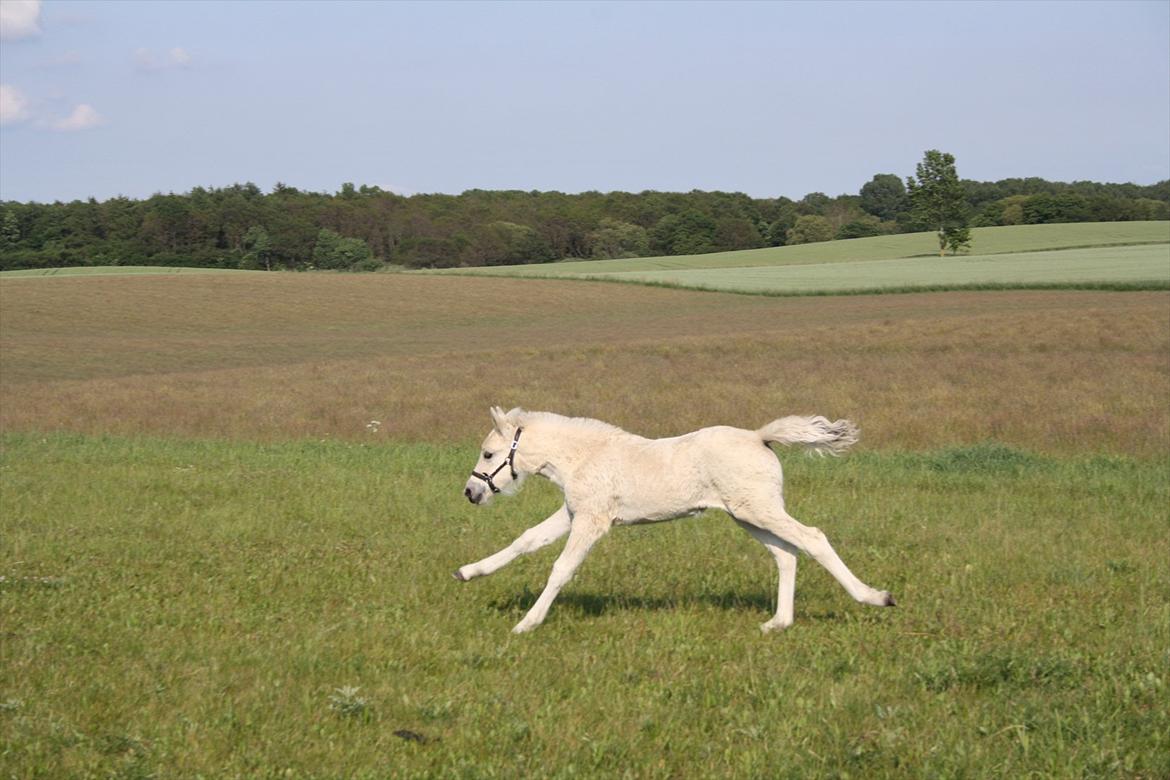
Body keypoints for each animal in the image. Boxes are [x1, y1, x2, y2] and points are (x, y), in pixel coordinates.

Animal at [456, 409, 893, 636]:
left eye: (489, 454)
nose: (471, 492)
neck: (585, 456)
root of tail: (758, 437)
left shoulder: (593, 521)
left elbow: (561, 568)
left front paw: (526, 623)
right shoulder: (572, 513)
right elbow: (526, 540)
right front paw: (468, 572)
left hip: (759, 510)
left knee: (812, 538)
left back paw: (875, 597)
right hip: (747, 516)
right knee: (786, 554)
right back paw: (778, 622)